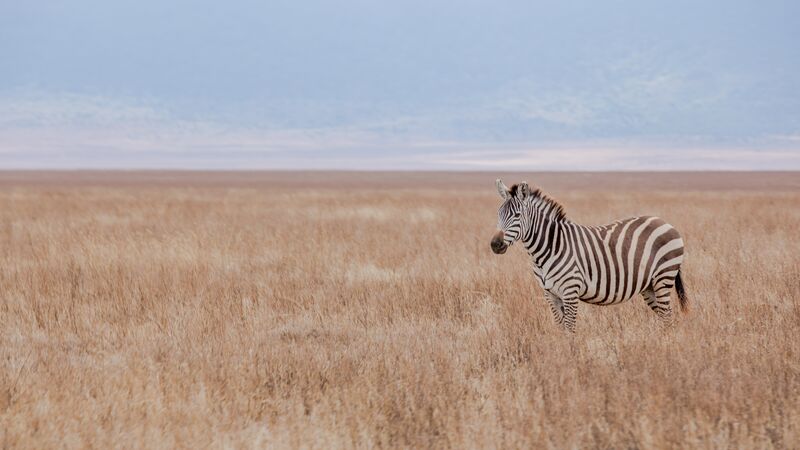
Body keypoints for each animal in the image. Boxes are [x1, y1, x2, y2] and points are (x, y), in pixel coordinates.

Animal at [488, 178, 688, 332]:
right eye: (498, 214)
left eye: (517, 215)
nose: (495, 244)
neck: (549, 248)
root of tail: (664, 222)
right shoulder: (550, 294)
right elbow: (561, 329)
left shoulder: (570, 291)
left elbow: (570, 329)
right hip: (649, 286)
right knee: (665, 318)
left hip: (663, 277)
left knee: (667, 316)